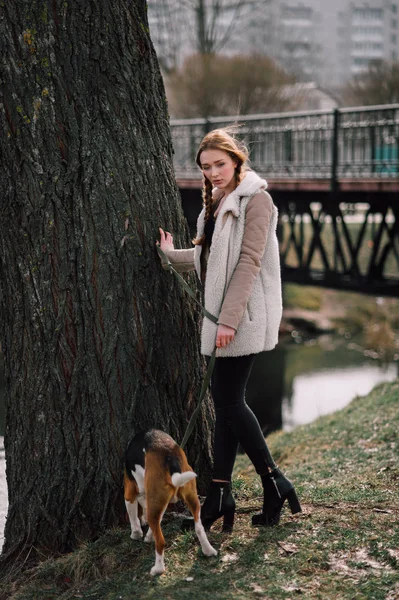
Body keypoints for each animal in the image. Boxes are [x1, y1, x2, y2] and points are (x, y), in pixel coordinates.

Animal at [125, 428, 219, 576]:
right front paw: (148, 534)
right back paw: (208, 551)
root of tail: (170, 456)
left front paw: (136, 534)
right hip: (193, 499)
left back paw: (157, 569)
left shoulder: (130, 492)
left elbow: (133, 516)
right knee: (199, 528)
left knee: (161, 542)